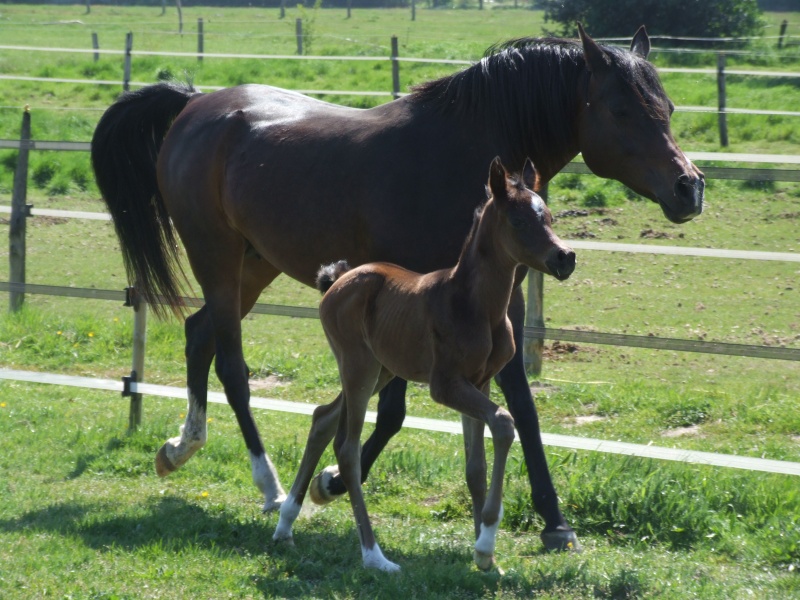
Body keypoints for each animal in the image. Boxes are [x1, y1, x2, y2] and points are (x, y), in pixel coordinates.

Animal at [274, 158, 576, 572]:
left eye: (547, 216)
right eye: (518, 221)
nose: (565, 257)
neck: (476, 307)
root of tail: (336, 280)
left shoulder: (479, 382)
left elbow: (476, 467)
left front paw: (486, 558)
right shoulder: (445, 385)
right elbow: (503, 422)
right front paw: (486, 542)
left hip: (381, 369)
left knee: (322, 418)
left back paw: (285, 525)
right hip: (358, 367)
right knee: (348, 449)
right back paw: (375, 556)